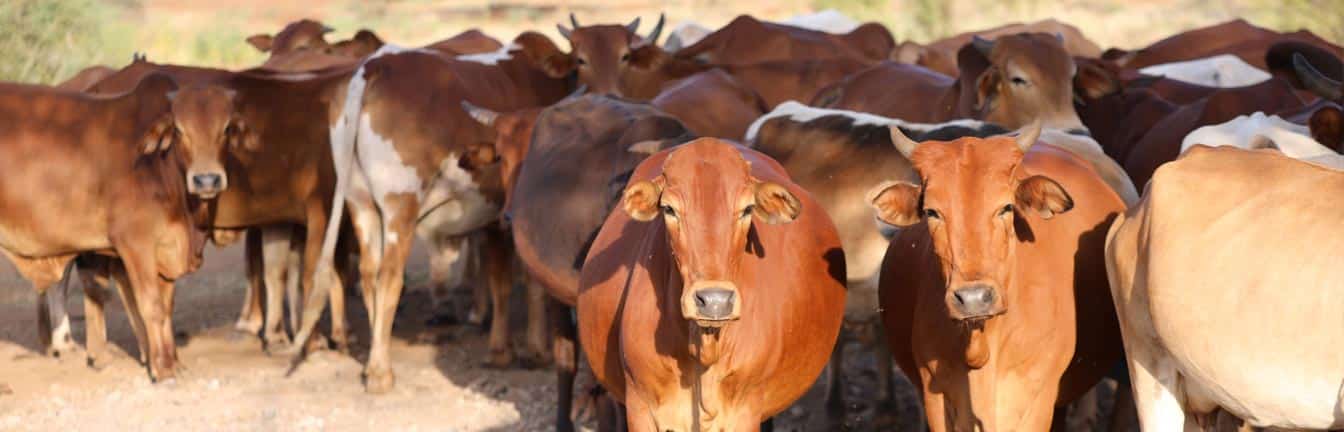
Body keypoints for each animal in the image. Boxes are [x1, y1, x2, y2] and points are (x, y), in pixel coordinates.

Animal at [0, 73, 209, 381]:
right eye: (180, 130)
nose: (207, 179)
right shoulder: (134, 243)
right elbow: (147, 304)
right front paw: (160, 368)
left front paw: (165, 362)